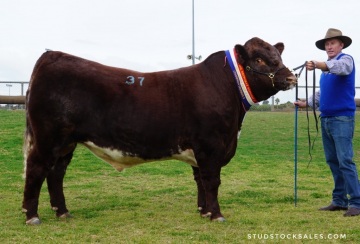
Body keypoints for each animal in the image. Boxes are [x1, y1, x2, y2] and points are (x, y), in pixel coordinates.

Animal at [23, 37, 298, 224]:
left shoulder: (199, 150)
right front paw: (217, 214)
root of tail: (52, 56)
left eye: (278, 55)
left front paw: (204, 211)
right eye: (259, 59)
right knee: (36, 169)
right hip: (48, 138)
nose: (291, 78)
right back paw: (31, 215)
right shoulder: (211, 146)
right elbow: (212, 180)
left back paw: (63, 212)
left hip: (66, 143)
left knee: (56, 174)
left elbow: (200, 180)